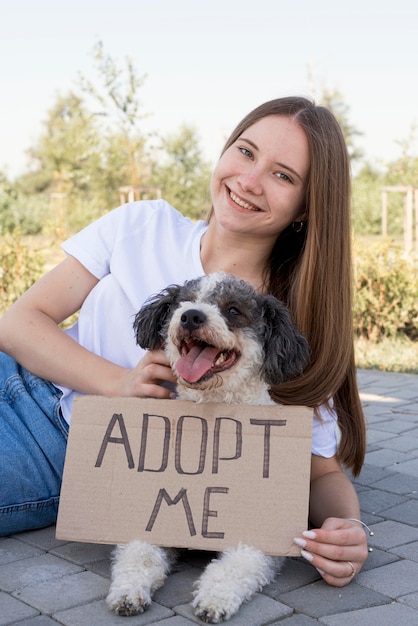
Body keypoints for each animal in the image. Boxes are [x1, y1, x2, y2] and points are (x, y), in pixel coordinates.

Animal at [106, 272, 308, 620]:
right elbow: (139, 552)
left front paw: (214, 600)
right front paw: (128, 591)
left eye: (234, 310)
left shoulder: (260, 533)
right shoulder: (160, 508)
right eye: (184, 301)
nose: (191, 316)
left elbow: (236, 565)